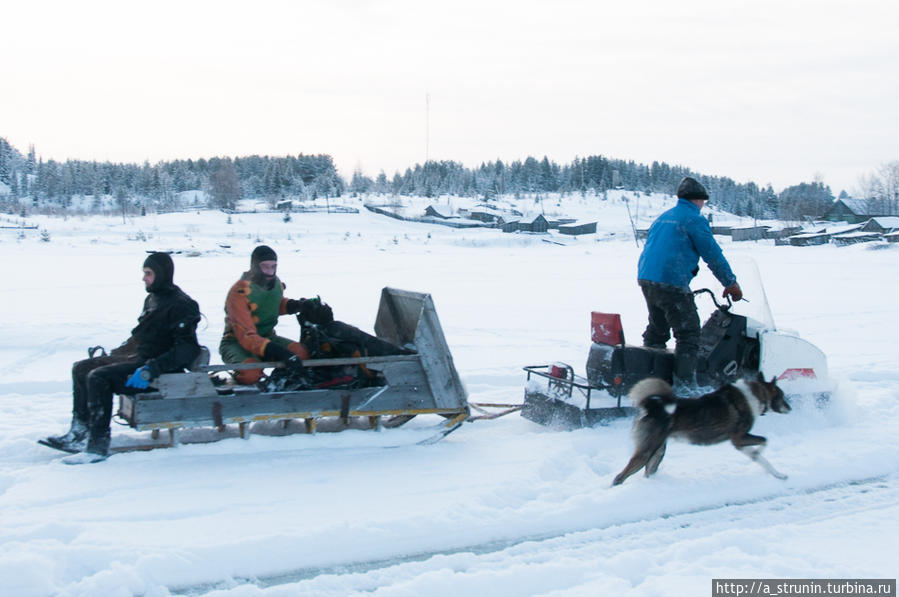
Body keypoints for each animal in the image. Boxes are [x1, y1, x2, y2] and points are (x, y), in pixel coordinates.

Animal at [616, 372, 792, 484]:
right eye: (782, 396)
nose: (790, 408)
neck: (756, 394)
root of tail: (652, 406)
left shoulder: (739, 444)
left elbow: (763, 460)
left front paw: (778, 475)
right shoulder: (739, 438)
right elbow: (764, 441)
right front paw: (758, 453)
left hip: (657, 452)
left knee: (647, 471)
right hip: (646, 453)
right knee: (619, 477)